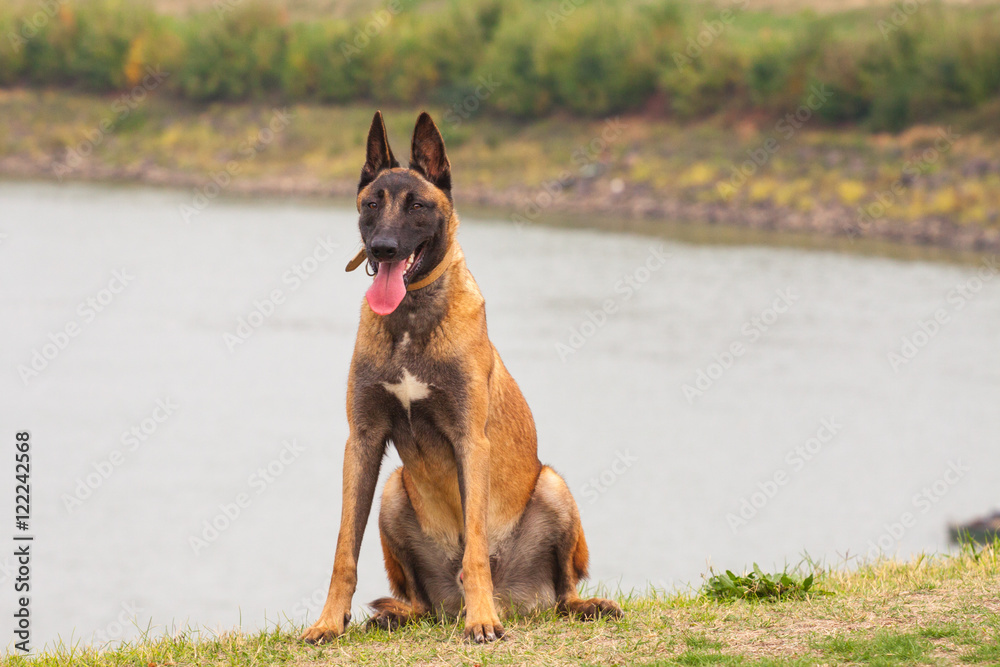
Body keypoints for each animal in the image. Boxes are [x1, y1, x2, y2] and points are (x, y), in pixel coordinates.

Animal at [300, 112, 620, 644]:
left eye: (418, 205)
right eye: (371, 204)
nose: (383, 247)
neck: (411, 318)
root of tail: (517, 601)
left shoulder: (471, 440)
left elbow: (474, 548)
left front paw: (482, 621)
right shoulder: (362, 441)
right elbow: (345, 549)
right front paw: (328, 622)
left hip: (553, 486)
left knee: (562, 590)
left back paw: (568, 606)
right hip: (394, 491)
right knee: (419, 598)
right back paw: (402, 614)